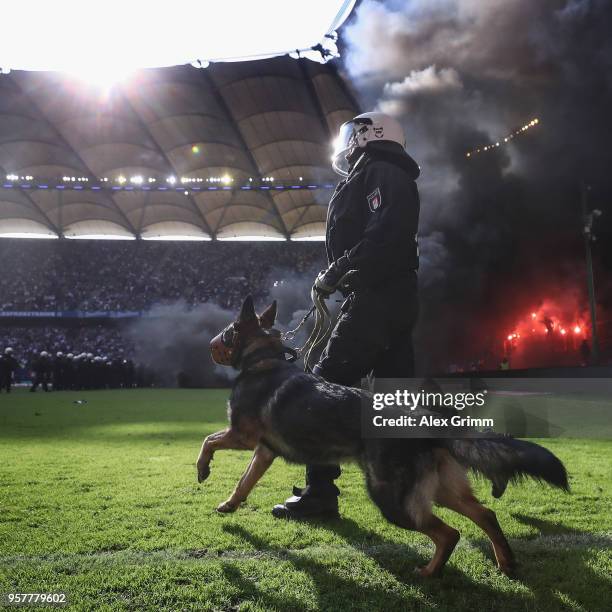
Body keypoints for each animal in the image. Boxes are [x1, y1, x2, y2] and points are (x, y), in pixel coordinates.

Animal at [196, 296, 568, 580]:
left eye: (227, 332)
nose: (208, 346)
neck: (262, 359)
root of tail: (430, 423)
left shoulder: (242, 437)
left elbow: (208, 440)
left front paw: (202, 470)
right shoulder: (263, 451)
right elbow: (243, 481)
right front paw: (229, 505)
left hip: (392, 499)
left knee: (449, 533)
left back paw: (429, 573)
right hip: (441, 491)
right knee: (486, 515)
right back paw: (505, 563)